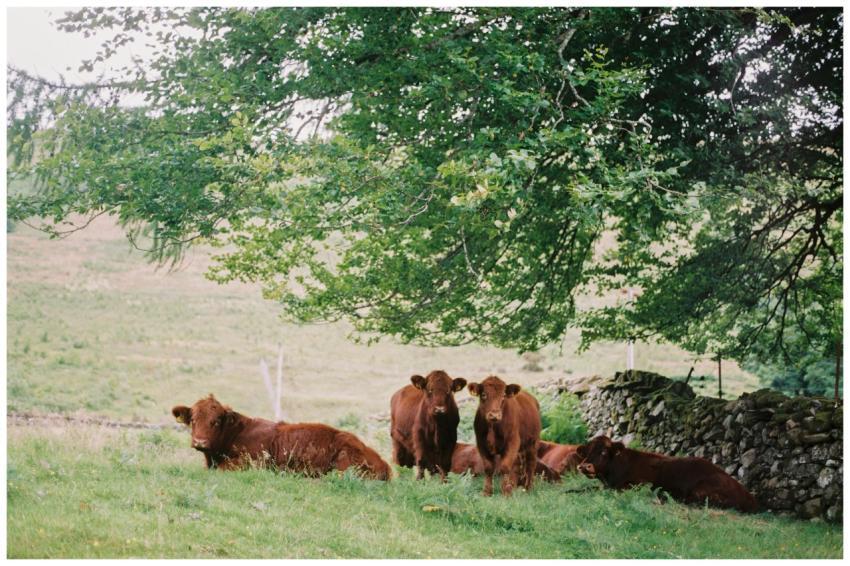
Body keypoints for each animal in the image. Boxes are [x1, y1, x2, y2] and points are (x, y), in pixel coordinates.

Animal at [576, 435, 758, 513]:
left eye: (604, 452)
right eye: (588, 451)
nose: (585, 466)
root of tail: (750, 497)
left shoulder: (635, 485)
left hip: (701, 493)